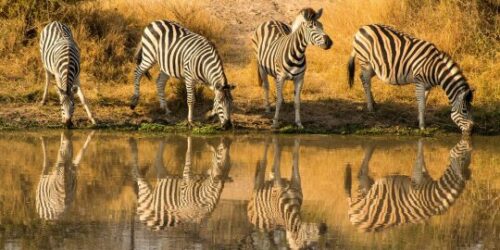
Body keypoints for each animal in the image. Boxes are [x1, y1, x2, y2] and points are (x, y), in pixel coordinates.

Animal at [346, 24, 474, 135]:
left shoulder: (427, 86)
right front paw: (422, 127)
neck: (435, 69)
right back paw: (370, 107)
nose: (471, 131)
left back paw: (373, 103)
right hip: (365, 62)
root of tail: (362, 28)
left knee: (362, 77)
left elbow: (423, 103)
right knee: (366, 82)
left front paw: (419, 120)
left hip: (374, 67)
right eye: (464, 111)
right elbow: (421, 105)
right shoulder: (419, 82)